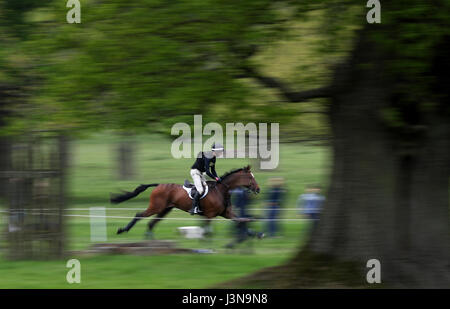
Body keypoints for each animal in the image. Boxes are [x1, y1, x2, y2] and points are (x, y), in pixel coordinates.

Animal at [111, 166, 260, 233]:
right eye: (250, 177)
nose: (258, 189)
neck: (221, 191)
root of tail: (158, 185)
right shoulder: (209, 215)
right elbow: (207, 230)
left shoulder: (227, 214)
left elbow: (241, 221)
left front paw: (256, 233)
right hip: (156, 207)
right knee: (139, 215)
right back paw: (123, 230)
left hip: (164, 210)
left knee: (151, 224)